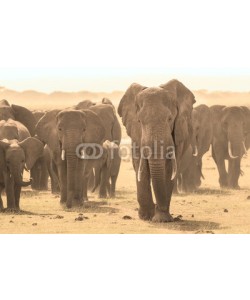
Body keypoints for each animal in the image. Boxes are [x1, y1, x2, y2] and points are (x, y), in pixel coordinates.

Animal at [117, 79, 195, 223]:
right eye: (139, 121)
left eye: (170, 119)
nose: (157, 208)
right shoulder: (136, 135)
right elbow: (140, 166)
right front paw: (146, 216)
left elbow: (169, 168)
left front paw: (162, 219)